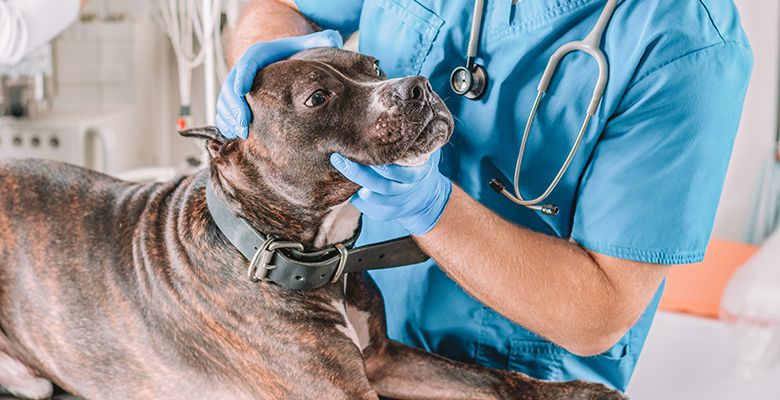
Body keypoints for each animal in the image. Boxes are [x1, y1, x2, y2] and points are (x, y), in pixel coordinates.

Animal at [0, 48, 624, 398]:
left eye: (374, 67)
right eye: (317, 98)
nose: (417, 86)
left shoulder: (384, 359)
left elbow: (495, 379)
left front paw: (580, 392)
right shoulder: (347, 390)